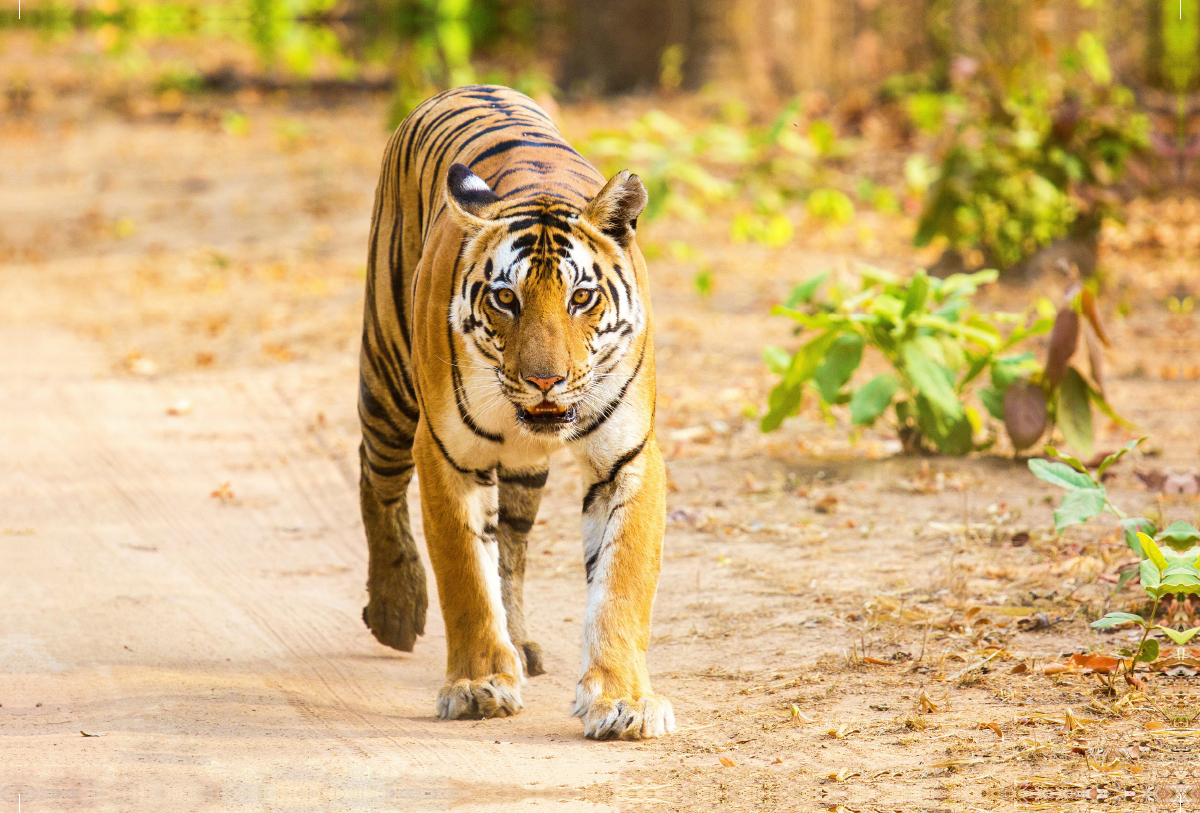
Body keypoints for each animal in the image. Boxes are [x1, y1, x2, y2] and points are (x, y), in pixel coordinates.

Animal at [355, 85, 676, 743]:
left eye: (582, 297)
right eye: (506, 298)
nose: (544, 380)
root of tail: (467, 88)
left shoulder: (628, 456)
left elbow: (621, 581)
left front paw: (624, 701)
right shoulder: (446, 453)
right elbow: (465, 575)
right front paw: (477, 685)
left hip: (524, 469)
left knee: (511, 544)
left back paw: (522, 643)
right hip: (388, 385)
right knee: (374, 478)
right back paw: (396, 607)